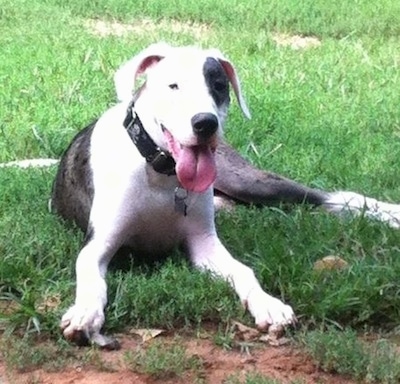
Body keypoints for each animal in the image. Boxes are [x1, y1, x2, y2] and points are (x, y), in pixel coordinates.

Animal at [51, 42, 400, 348]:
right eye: (173, 86)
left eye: (219, 86)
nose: (205, 123)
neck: (162, 176)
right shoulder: (99, 243)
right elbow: (90, 277)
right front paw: (85, 314)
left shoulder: (204, 244)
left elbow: (244, 271)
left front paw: (268, 304)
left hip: (251, 182)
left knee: (330, 197)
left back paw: (390, 212)